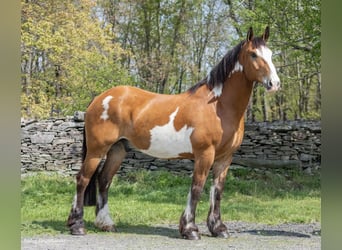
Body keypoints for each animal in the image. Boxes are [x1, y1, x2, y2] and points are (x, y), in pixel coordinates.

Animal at [67, 26, 280, 239]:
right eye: (253, 54)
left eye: (270, 54)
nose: (274, 83)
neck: (217, 106)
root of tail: (100, 98)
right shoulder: (204, 154)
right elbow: (197, 188)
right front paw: (190, 229)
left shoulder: (225, 158)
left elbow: (217, 191)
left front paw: (218, 228)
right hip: (97, 150)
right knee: (82, 179)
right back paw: (77, 226)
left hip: (117, 150)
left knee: (104, 180)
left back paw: (106, 224)